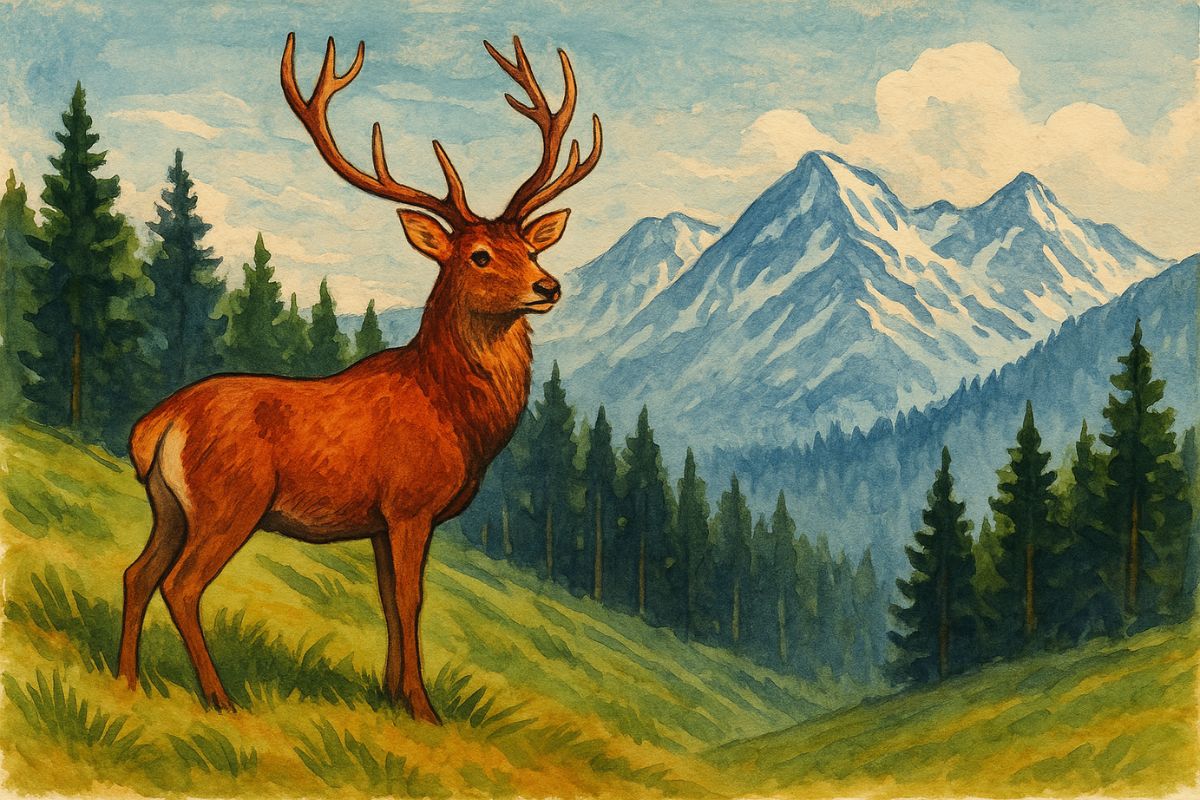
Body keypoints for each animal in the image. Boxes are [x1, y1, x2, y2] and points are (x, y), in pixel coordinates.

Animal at [116, 31, 602, 723]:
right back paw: (220, 698)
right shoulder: (409, 504)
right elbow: (412, 601)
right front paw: (425, 709)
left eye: (532, 248)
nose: (549, 286)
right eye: (480, 255)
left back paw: (127, 681)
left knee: (137, 573)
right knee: (181, 585)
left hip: (166, 506)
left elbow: (387, 603)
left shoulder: (376, 522)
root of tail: (156, 425)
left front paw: (389, 696)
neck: (455, 415)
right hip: (228, 502)